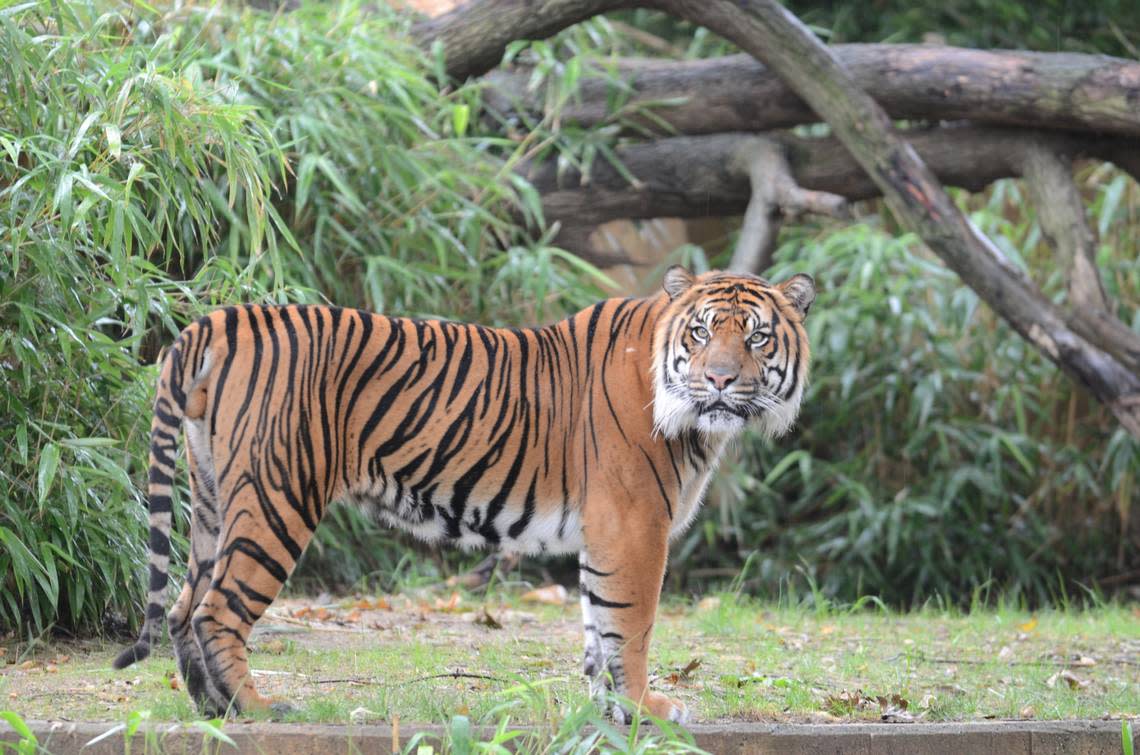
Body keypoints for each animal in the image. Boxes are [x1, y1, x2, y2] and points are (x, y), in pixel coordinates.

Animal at [113, 265, 811, 729]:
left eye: (756, 338)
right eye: (701, 334)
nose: (718, 380)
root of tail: (221, 318)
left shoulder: (607, 530)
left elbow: (598, 624)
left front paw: (607, 710)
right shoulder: (633, 522)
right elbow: (629, 623)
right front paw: (645, 710)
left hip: (212, 498)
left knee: (183, 606)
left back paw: (209, 709)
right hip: (277, 496)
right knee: (217, 610)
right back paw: (256, 710)